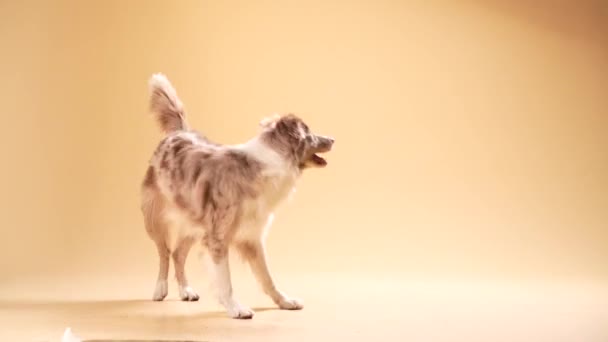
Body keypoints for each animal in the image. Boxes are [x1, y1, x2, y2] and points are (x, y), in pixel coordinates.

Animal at [141, 73, 334, 320]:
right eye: (309, 134)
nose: (333, 139)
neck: (268, 163)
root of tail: (179, 132)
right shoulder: (218, 237)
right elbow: (225, 280)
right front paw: (236, 308)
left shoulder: (251, 236)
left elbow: (267, 276)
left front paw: (284, 301)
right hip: (154, 218)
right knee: (164, 252)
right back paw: (160, 289)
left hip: (194, 223)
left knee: (177, 254)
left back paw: (186, 290)